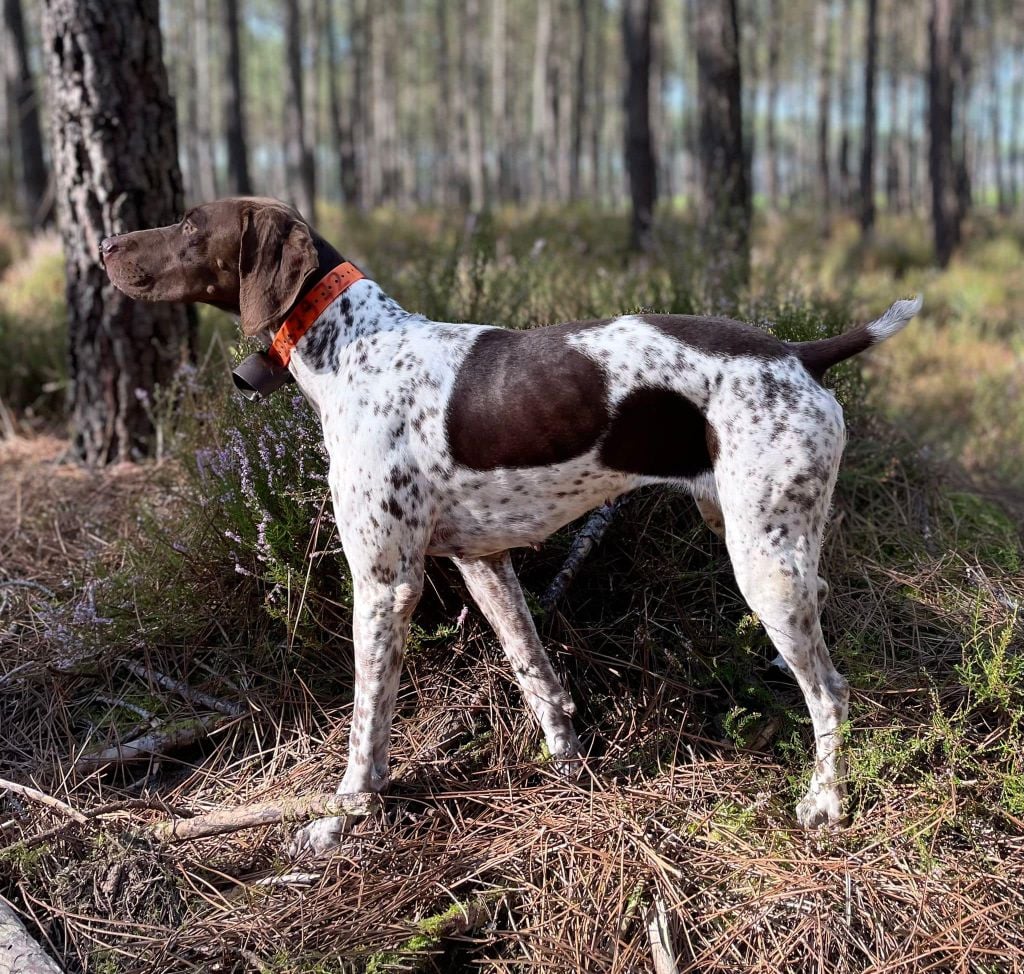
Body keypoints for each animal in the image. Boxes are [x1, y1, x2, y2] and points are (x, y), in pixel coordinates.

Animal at [101, 196, 921, 852]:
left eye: (189, 224)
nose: (106, 245)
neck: (355, 347)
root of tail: (800, 352)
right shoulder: (483, 564)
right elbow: (537, 675)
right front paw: (569, 771)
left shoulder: (385, 585)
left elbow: (367, 727)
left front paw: (341, 818)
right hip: (770, 539)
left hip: (763, 564)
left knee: (830, 690)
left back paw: (825, 802)